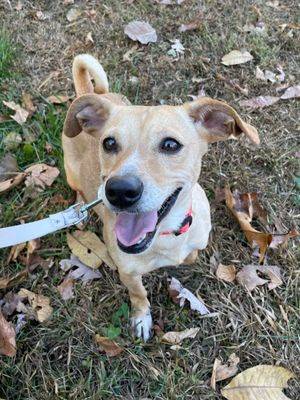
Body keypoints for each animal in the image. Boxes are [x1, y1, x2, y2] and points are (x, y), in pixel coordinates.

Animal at [62, 54, 258, 340]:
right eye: (109, 143)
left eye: (170, 145)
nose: (119, 191)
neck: (166, 235)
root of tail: (90, 93)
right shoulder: (128, 272)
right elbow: (139, 294)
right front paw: (142, 318)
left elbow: (191, 255)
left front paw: (187, 259)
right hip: (71, 172)